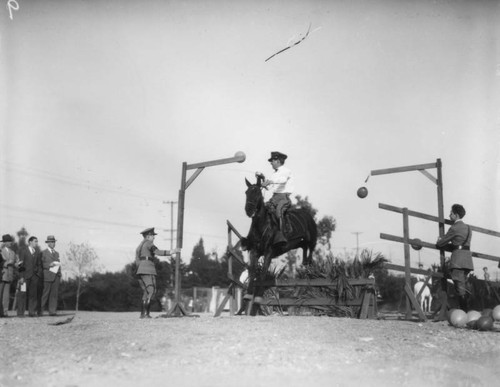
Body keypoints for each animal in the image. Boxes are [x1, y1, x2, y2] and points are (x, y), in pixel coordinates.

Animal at [241, 176, 316, 312]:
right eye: (246, 192)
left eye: (257, 193)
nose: (248, 210)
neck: (262, 225)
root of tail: (307, 214)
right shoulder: (254, 251)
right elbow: (253, 271)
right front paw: (248, 295)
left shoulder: (268, 253)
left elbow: (263, 273)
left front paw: (258, 297)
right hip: (297, 243)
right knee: (304, 247)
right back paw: (304, 262)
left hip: (312, 238)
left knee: (311, 249)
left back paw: (308, 264)